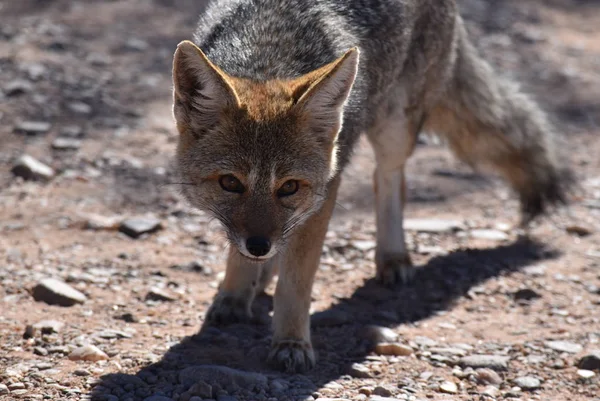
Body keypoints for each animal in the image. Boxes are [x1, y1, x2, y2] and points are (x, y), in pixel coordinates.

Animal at [171, 0, 568, 372]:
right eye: (230, 183)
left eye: (289, 187)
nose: (259, 245)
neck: (269, 55)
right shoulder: (253, 226)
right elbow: (242, 253)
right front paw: (235, 294)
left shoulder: (323, 195)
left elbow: (296, 283)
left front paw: (291, 343)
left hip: (394, 129)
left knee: (390, 180)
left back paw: (392, 257)